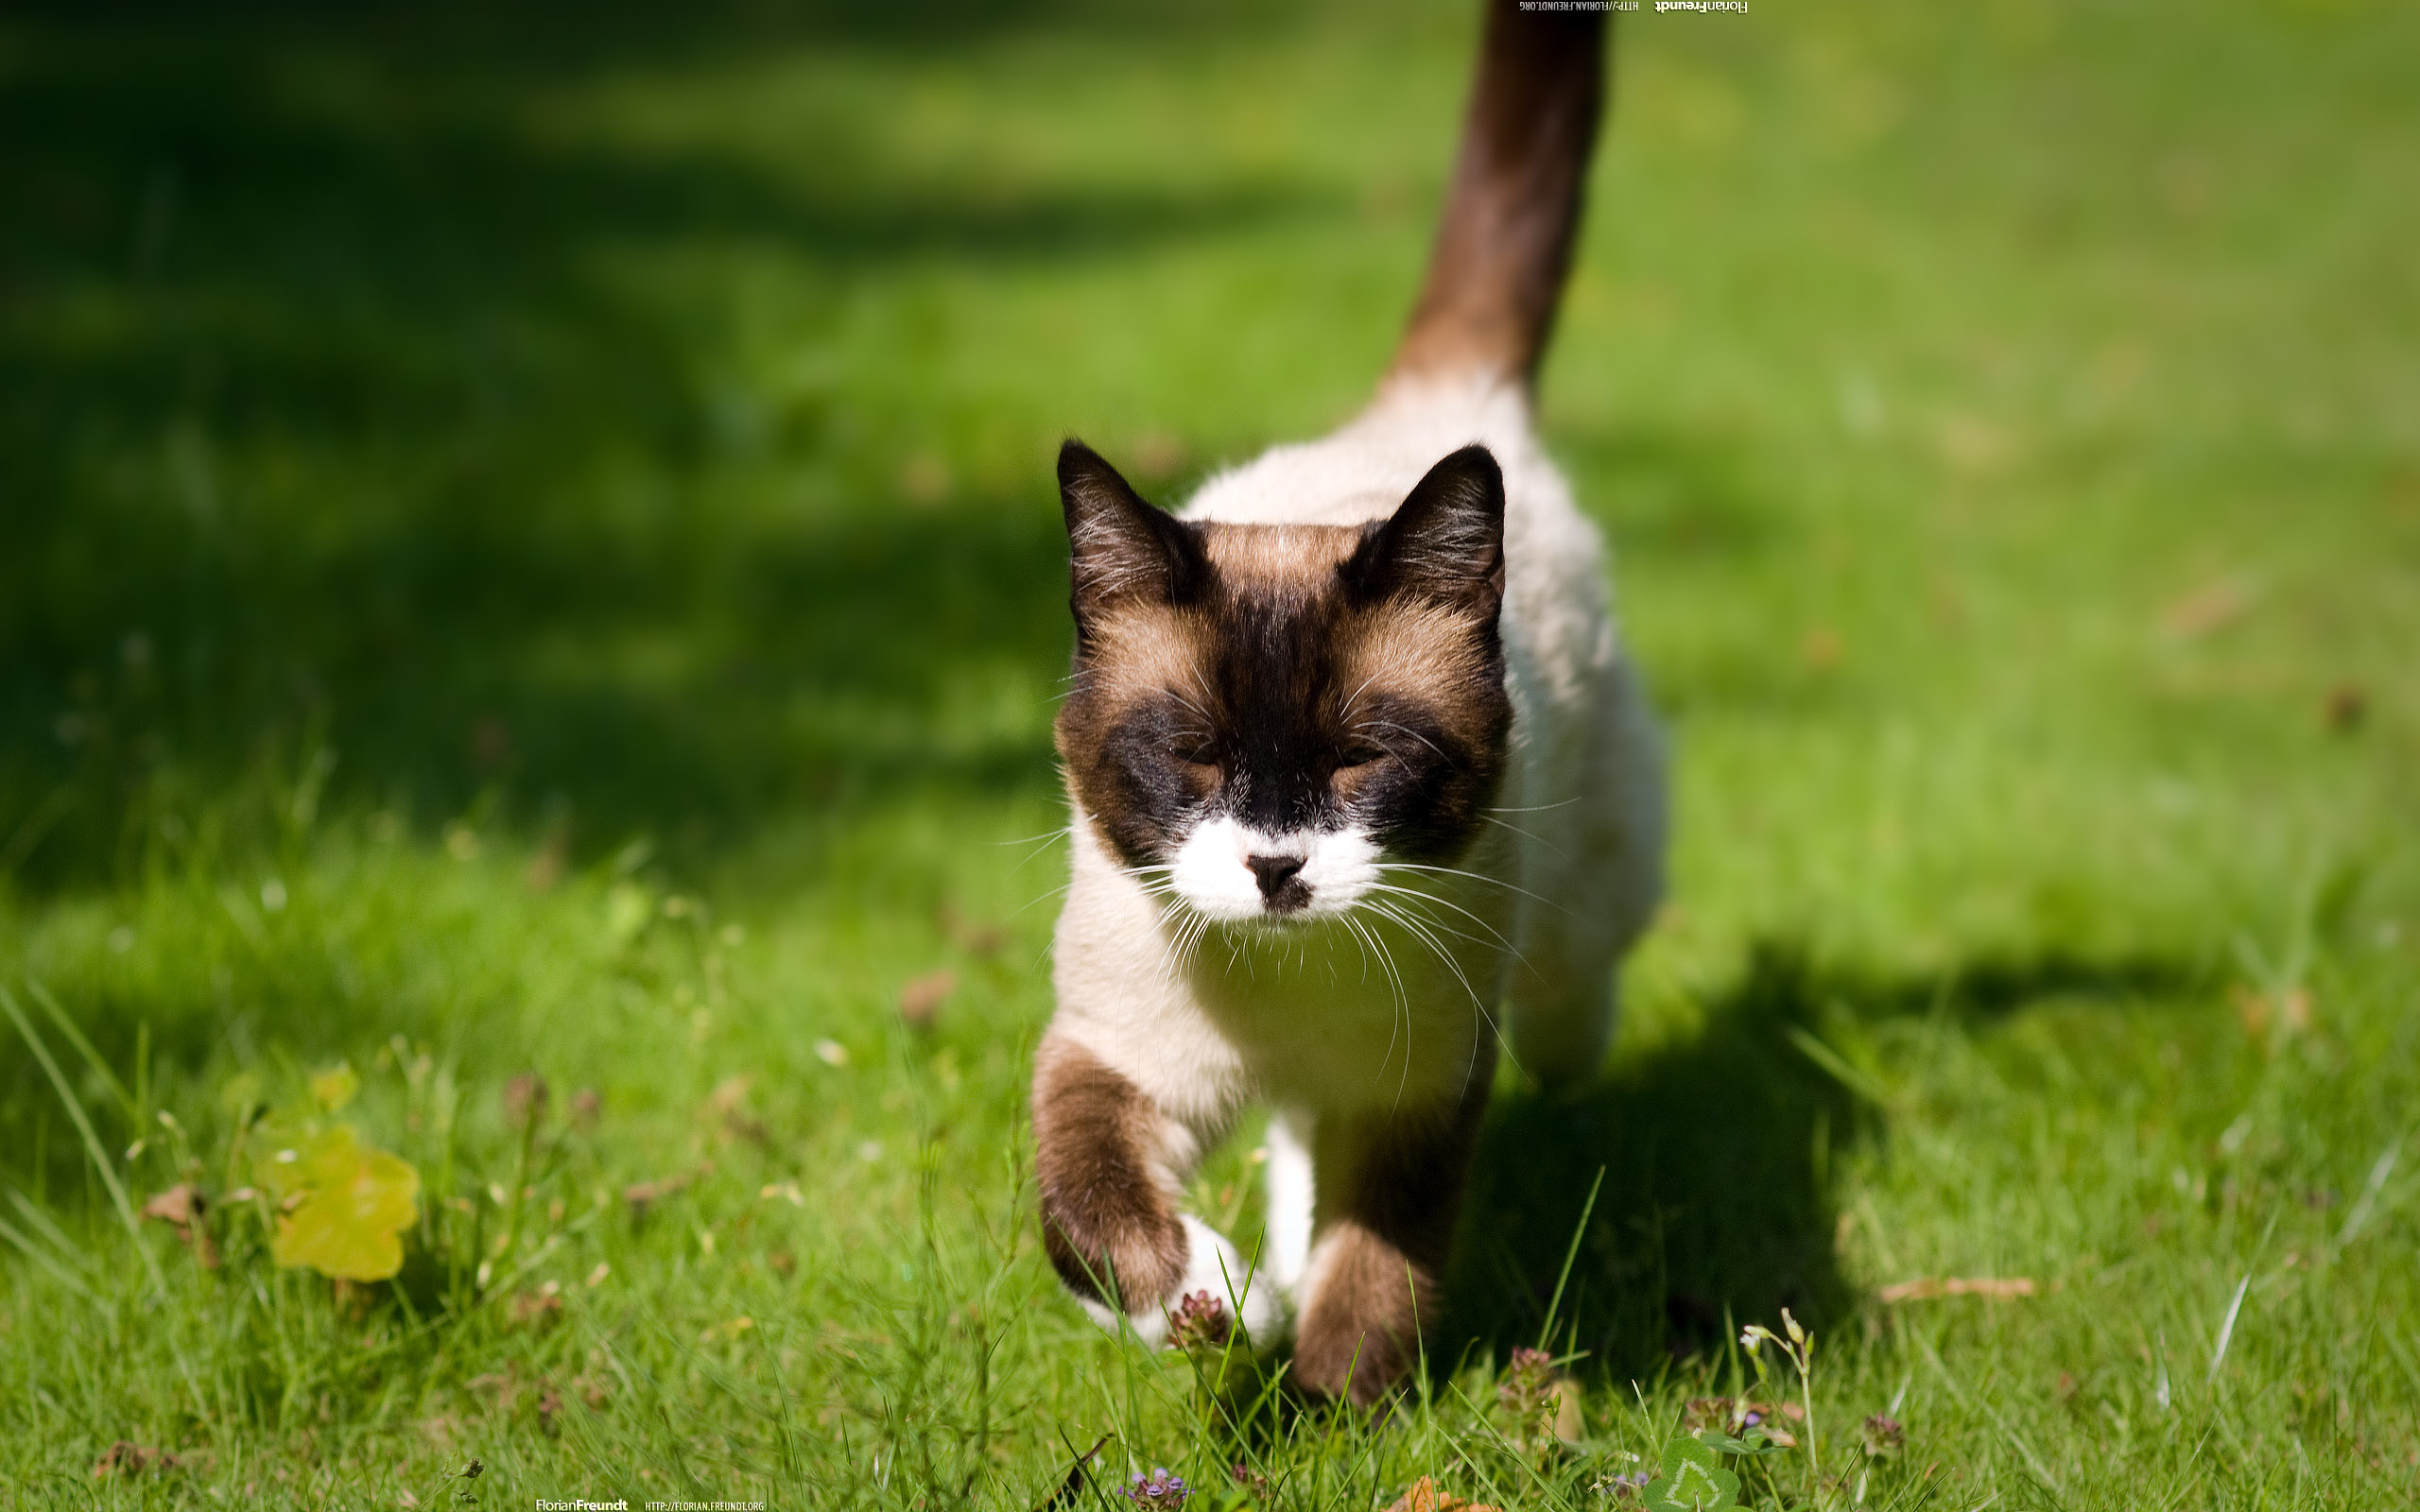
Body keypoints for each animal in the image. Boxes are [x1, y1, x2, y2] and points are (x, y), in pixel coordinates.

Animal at [1021, 0, 1665, 1402]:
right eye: (1196, 758)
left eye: (1362, 760)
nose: (1275, 866)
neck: (1283, 989)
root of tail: (1443, 406)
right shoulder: (1112, 1060)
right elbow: (1089, 1216)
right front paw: (1213, 1305)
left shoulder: (1414, 1096)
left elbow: (1374, 1272)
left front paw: (1325, 1409)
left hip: (1576, 918)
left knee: (1570, 1007)